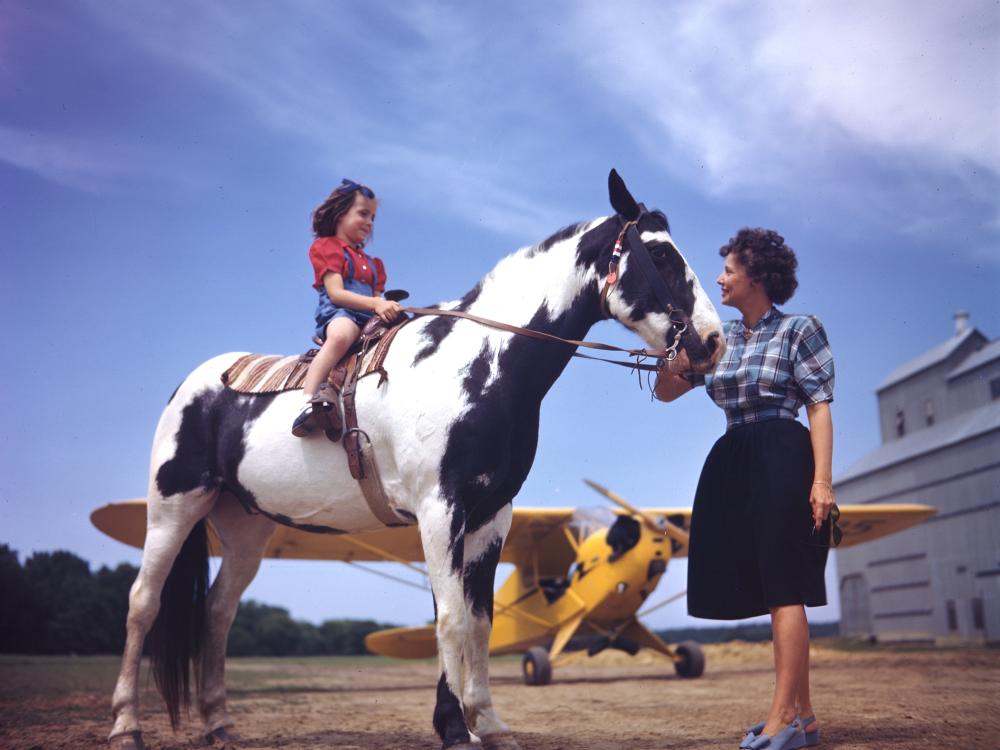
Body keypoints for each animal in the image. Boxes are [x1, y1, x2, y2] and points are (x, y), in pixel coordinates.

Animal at [109, 172, 724, 750]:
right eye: (661, 255)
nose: (713, 342)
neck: (479, 364)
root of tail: (194, 383)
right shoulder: (439, 510)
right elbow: (450, 618)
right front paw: (458, 728)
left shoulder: (489, 516)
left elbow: (477, 621)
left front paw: (484, 724)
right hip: (174, 505)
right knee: (143, 603)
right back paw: (125, 726)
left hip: (245, 525)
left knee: (219, 611)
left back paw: (219, 724)